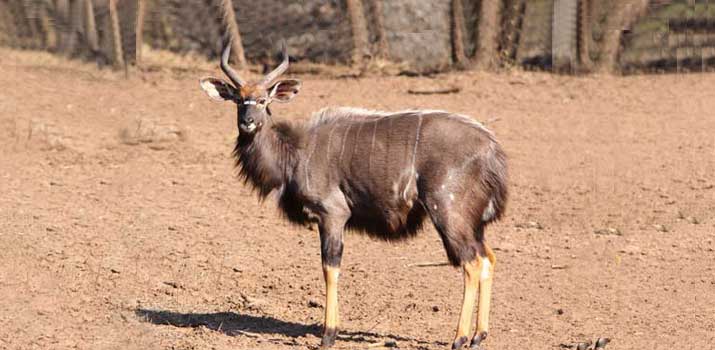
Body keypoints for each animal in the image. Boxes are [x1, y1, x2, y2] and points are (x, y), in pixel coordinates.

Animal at [199, 44, 506, 350]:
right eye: (239, 100)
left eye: (263, 100)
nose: (248, 122)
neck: (293, 152)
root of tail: (492, 149)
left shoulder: (332, 214)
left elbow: (330, 267)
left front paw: (328, 334)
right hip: (472, 223)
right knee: (488, 257)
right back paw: (478, 336)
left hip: (448, 212)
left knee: (471, 262)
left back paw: (460, 338)